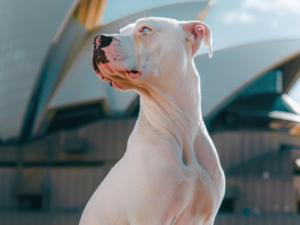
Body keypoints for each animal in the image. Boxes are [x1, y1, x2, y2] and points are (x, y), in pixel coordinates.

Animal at [78, 17, 224, 225]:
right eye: (122, 31)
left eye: (145, 29)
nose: (99, 38)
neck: (180, 129)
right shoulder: (150, 217)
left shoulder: (207, 218)